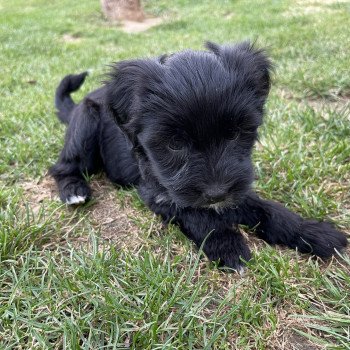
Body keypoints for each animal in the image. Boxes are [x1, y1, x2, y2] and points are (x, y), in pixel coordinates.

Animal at [50, 41, 348, 270]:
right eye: (175, 143)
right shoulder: (159, 192)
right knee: (63, 167)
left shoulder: (235, 186)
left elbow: (268, 209)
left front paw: (311, 232)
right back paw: (74, 190)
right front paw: (227, 244)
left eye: (234, 134)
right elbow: (197, 214)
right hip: (85, 122)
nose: (216, 194)